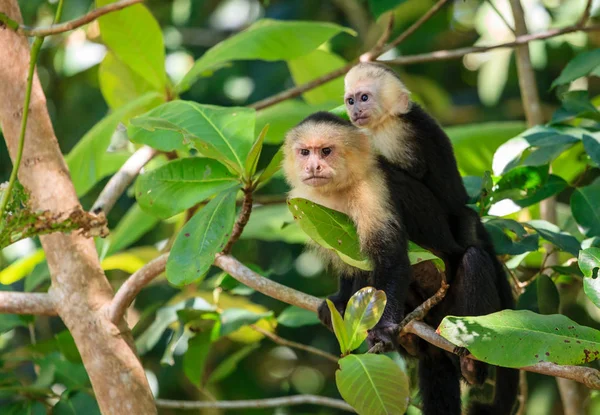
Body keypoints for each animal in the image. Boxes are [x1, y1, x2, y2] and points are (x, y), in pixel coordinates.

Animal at [284, 111, 516, 415]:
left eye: (326, 151)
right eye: (304, 152)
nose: (313, 165)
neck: (339, 189)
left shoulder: (373, 190)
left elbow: (390, 258)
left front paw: (383, 328)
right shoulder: (310, 206)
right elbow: (352, 264)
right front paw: (340, 301)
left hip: (449, 313)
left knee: (474, 259)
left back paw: (473, 366)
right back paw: (411, 342)